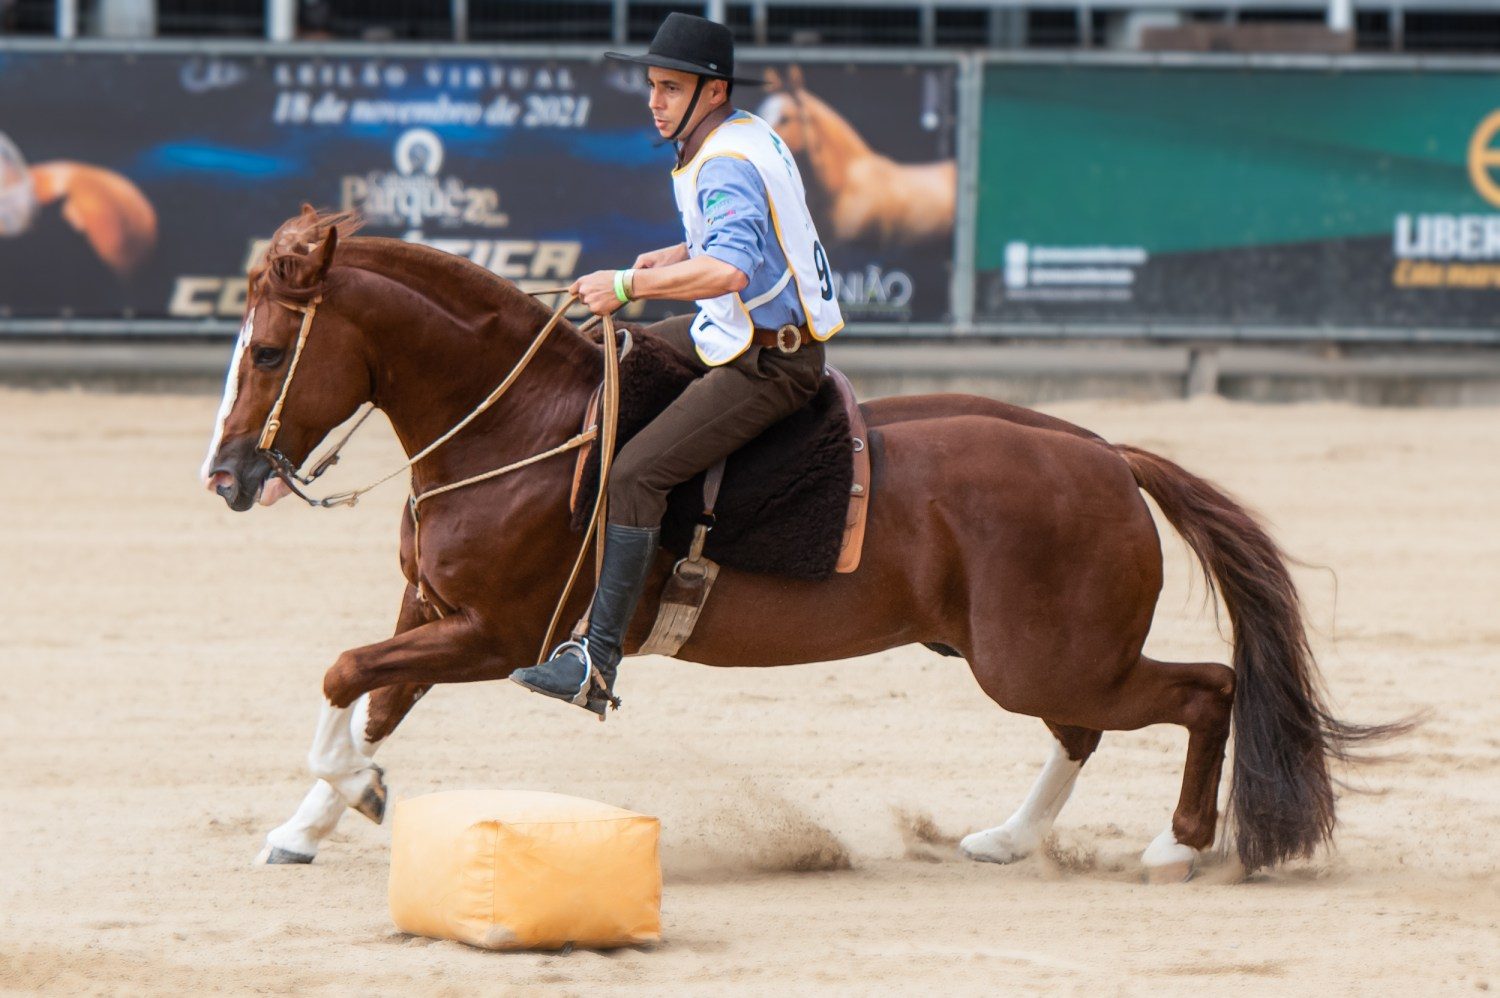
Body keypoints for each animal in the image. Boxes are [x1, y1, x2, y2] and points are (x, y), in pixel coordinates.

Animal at [208, 208, 1392, 870]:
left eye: (266, 351)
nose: (225, 478)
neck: (527, 428)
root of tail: (1105, 454)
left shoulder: (494, 636)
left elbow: (343, 673)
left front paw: (359, 791)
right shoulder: (433, 613)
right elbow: (372, 697)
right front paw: (316, 818)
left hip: (1045, 656)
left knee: (1204, 691)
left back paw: (1176, 847)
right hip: (1034, 655)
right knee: (1085, 729)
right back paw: (1010, 838)